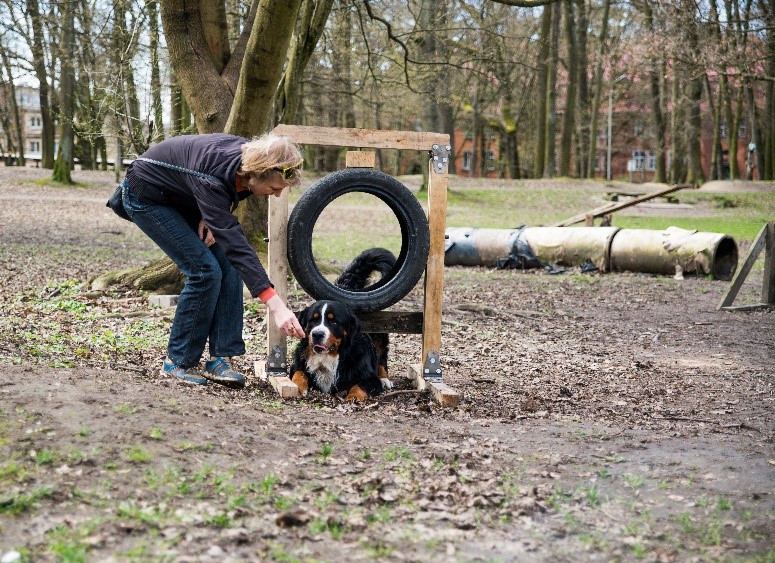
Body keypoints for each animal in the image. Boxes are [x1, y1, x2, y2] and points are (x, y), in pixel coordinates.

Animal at [294, 249, 398, 404]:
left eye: (333, 321)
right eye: (313, 320)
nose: (317, 334)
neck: (330, 357)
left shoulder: (369, 378)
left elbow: (359, 386)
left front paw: (352, 397)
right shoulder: (299, 363)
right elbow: (298, 372)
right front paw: (298, 386)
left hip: (380, 334)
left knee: (382, 356)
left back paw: (384, 378)